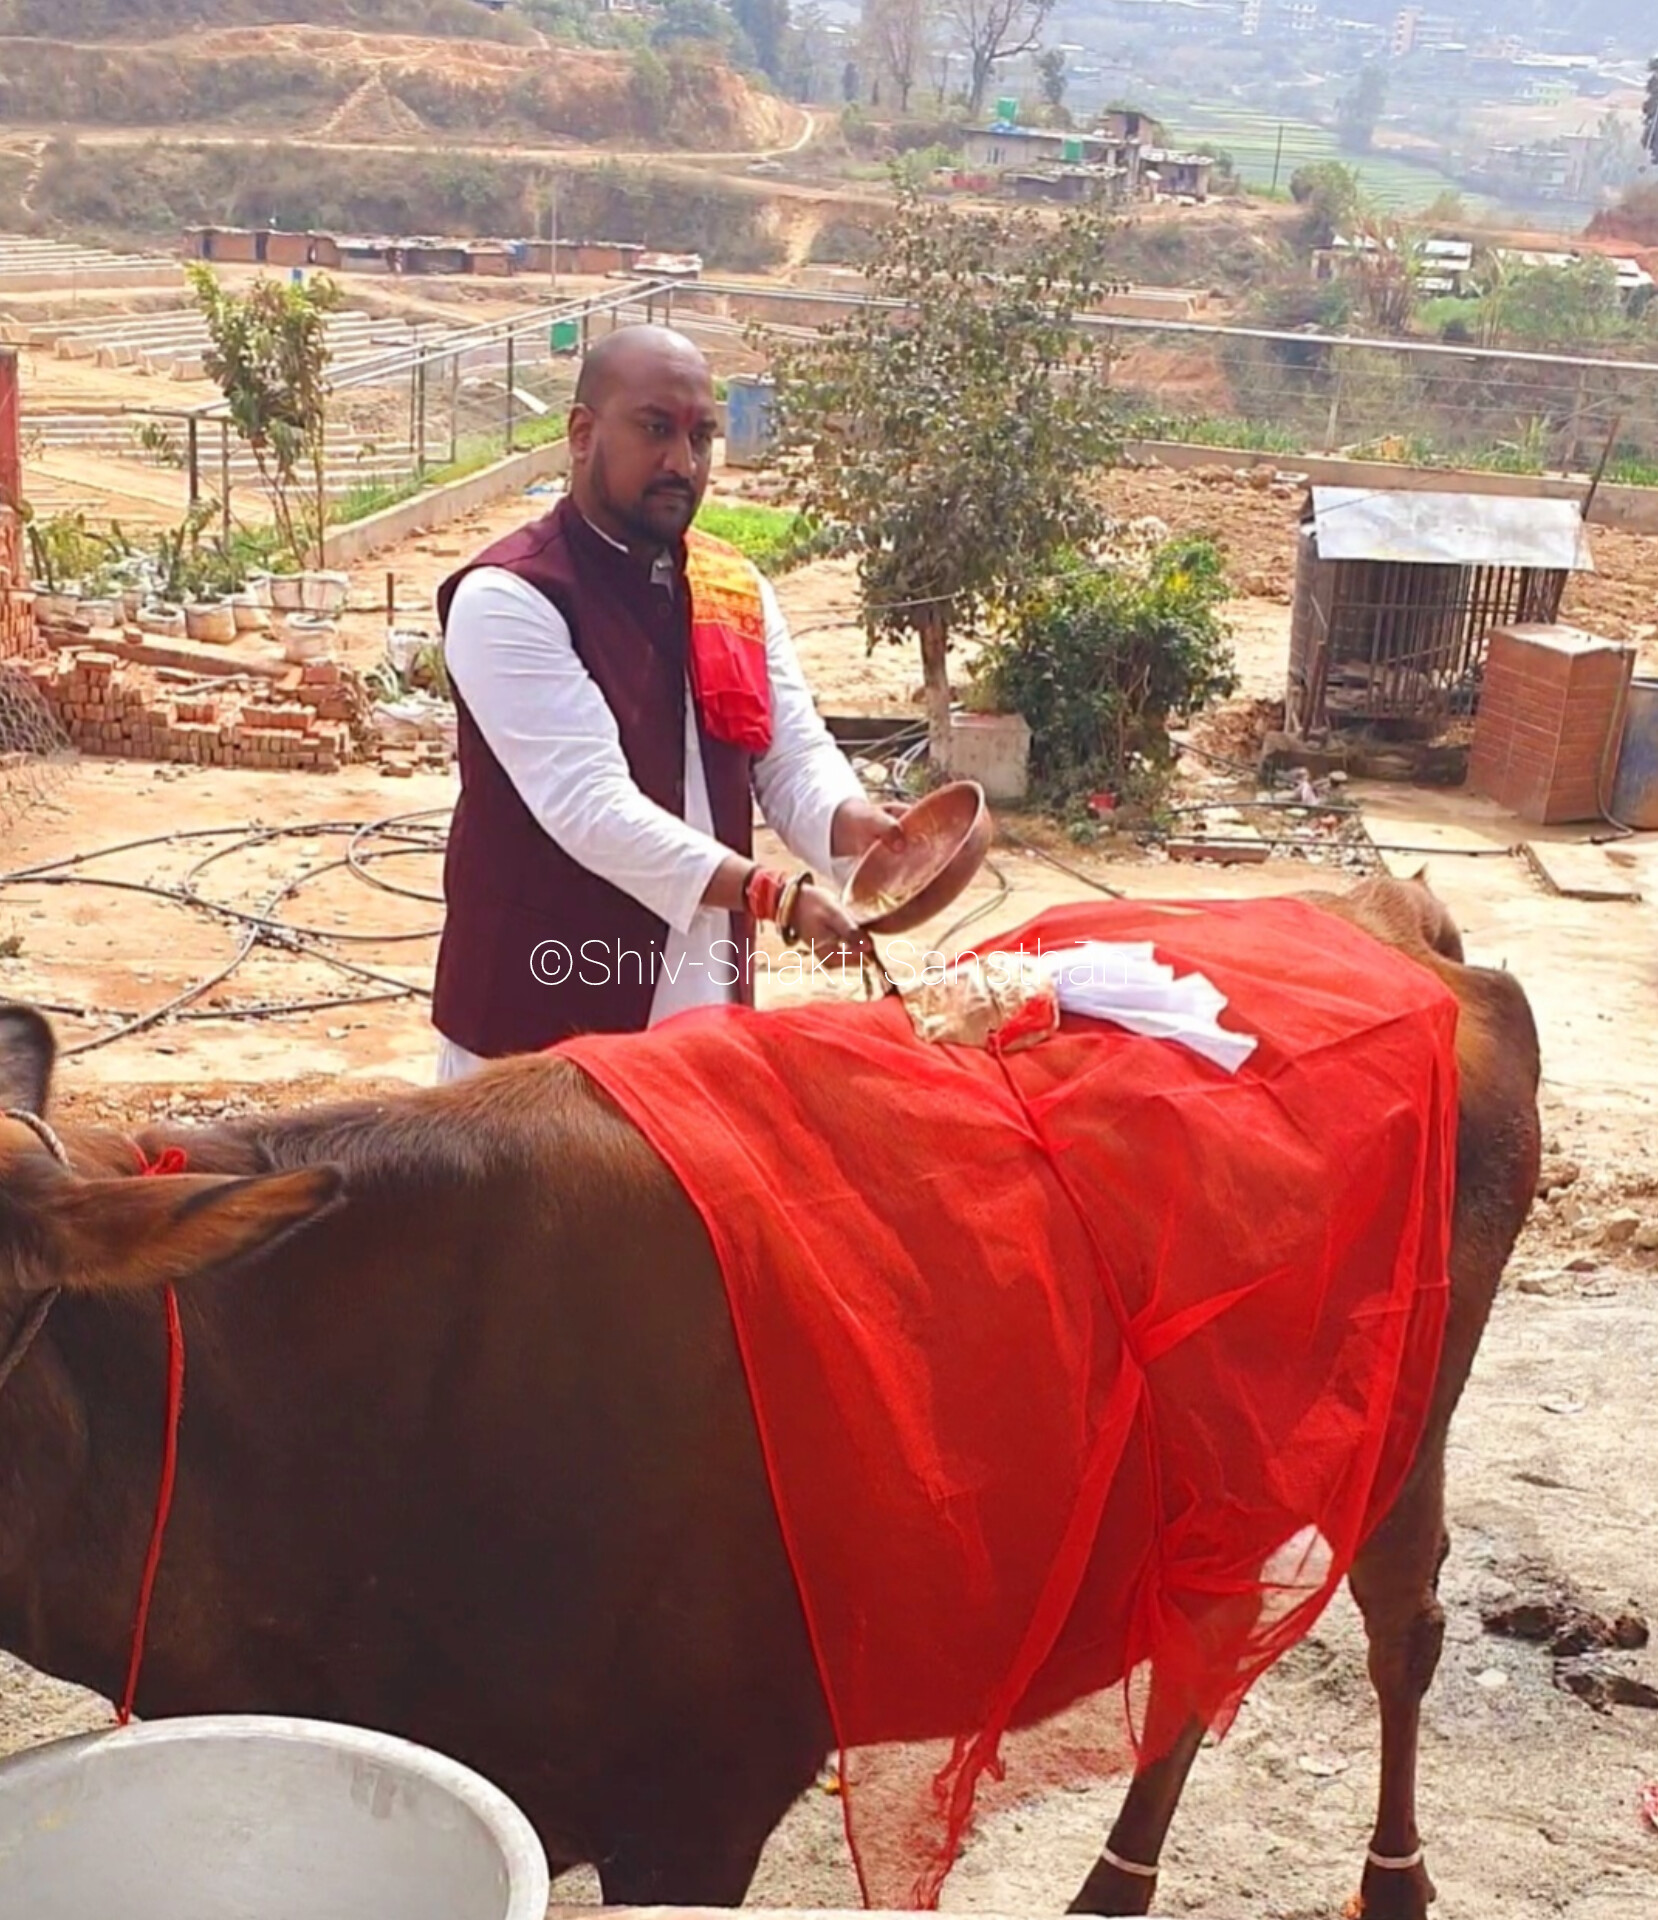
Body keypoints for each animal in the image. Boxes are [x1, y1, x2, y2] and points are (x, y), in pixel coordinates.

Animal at [0, 878, 1540, 1920]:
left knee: (1398, 1622)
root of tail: (1387, 918)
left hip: (1408, 1409)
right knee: (1206, 1632)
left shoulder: (701, 1800)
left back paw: (1391, 1880)